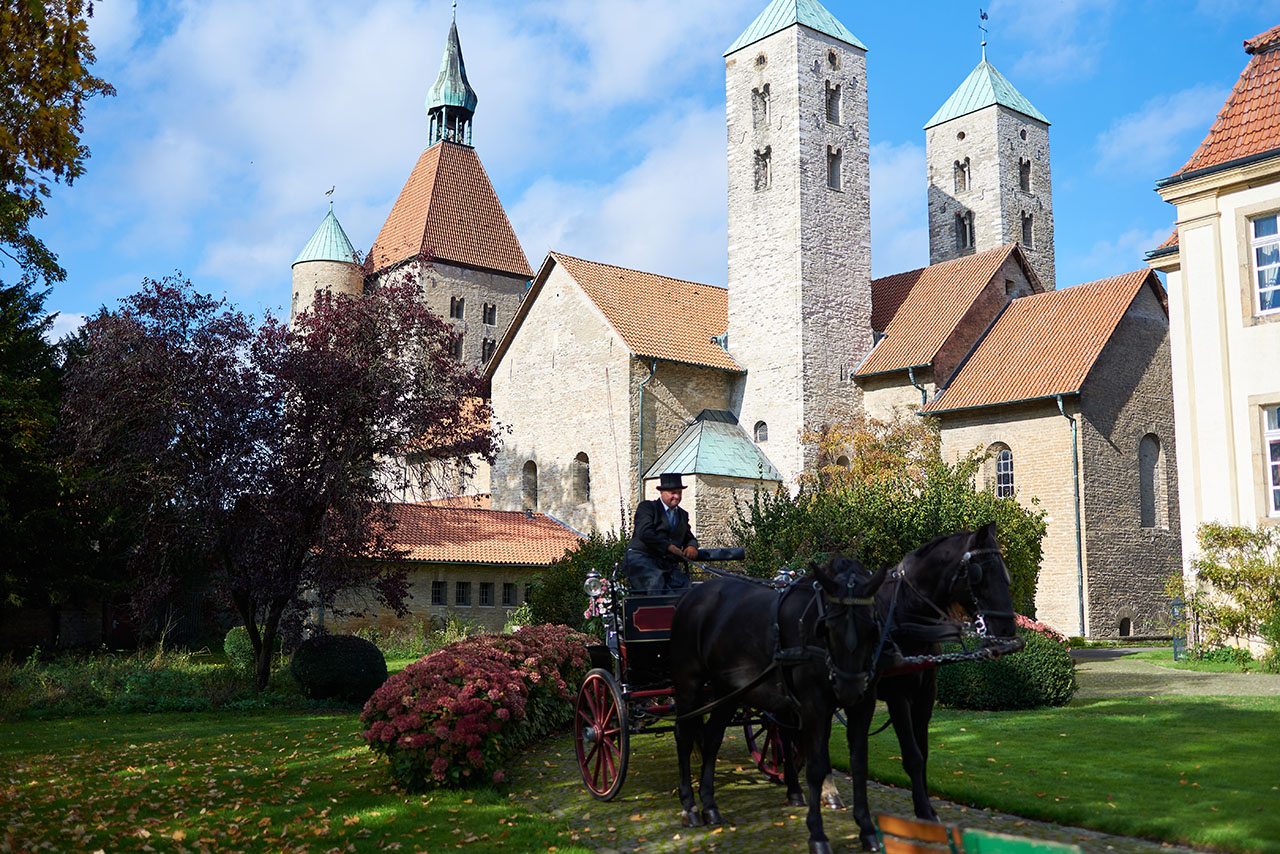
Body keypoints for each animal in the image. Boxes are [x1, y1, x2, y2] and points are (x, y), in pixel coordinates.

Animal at [670, 555, 890, 854]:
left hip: (727, 690)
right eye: (828, 628)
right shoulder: (813, 705)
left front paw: (866, 830)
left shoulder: (863, 705)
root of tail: (691, 595)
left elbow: (859, 764)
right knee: (684, 736)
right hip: (688, 685)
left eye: (871, 628)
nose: (848, 689)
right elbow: (815, 766)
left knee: (712, 738)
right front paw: (817, 835)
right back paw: (690, 806)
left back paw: (710, 806)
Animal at [844, 524, 1024, 850]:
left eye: (1005, 571)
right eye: (980, 572)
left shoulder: (927, 692)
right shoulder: (899, 696)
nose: (1007, 633)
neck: (906, 614)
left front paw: (924, 807)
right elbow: (913, 755)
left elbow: (924, 752)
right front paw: (925, 813)